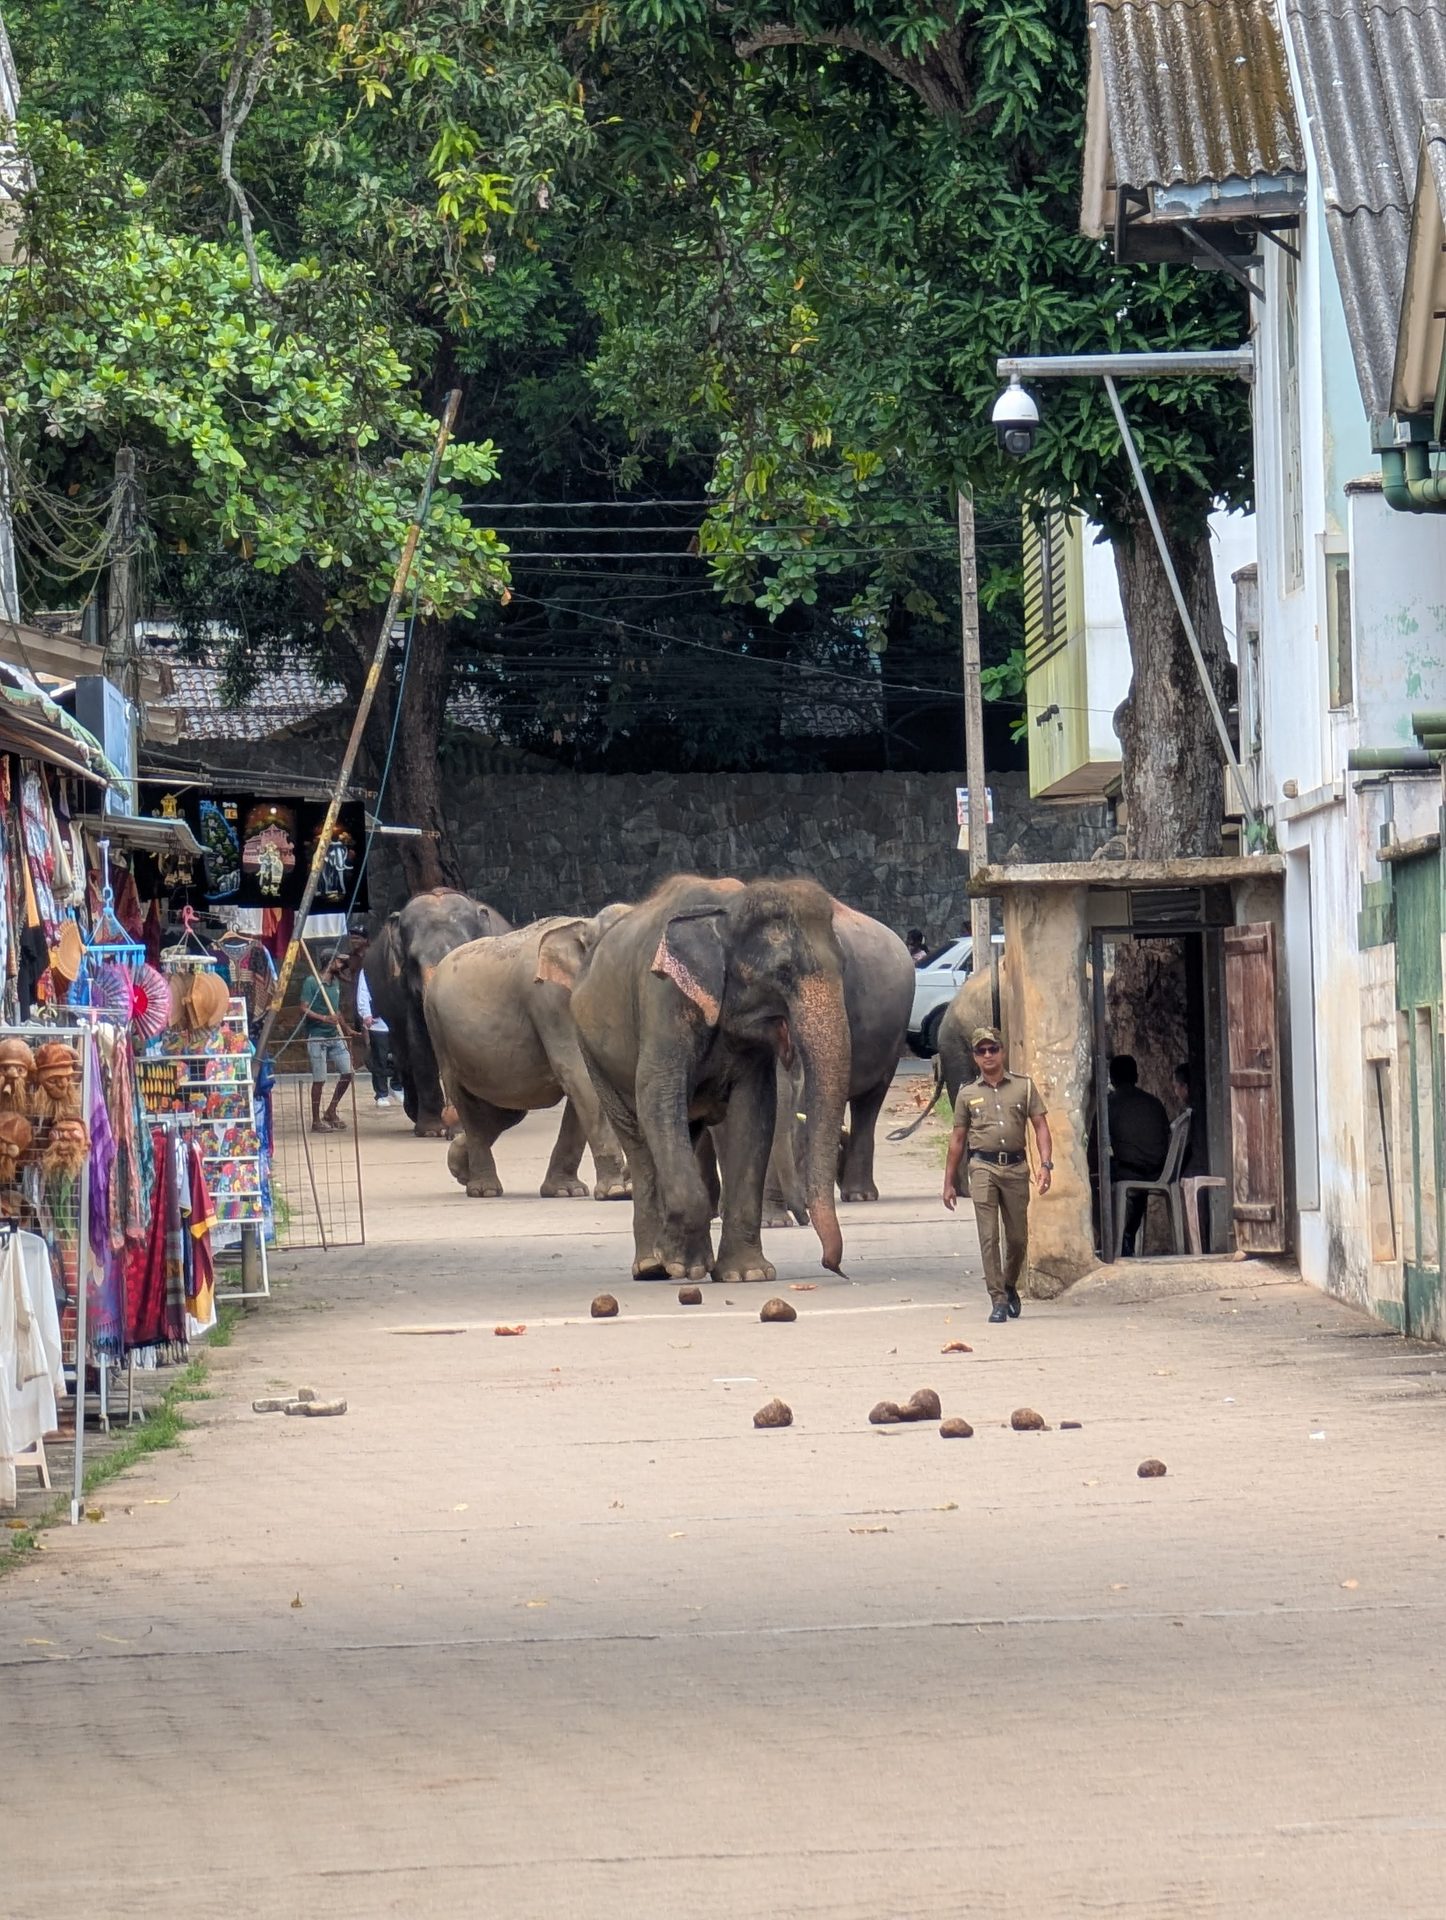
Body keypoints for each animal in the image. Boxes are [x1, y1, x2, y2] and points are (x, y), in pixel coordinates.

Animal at [423, 910, 632, 1201]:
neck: (583, 924)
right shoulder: (550, 1000)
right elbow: (577, 1073)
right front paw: (617, 1191)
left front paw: (566, 1191)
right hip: (438, 1031)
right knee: (465, 1101)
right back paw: (484, 1189)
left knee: (505, 1112)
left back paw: (460, 1168)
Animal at [570, 874, 851, 1284]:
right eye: (782, 971)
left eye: (843, 965)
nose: (834, 1267)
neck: (729, 907)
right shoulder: (664, 997)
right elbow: (657, 1092)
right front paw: (684, 1267)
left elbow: (755, 1111)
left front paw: (748, 1275)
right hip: (594, 1055)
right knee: (639, 1138)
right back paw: (653, 1266)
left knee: (680, 1134)